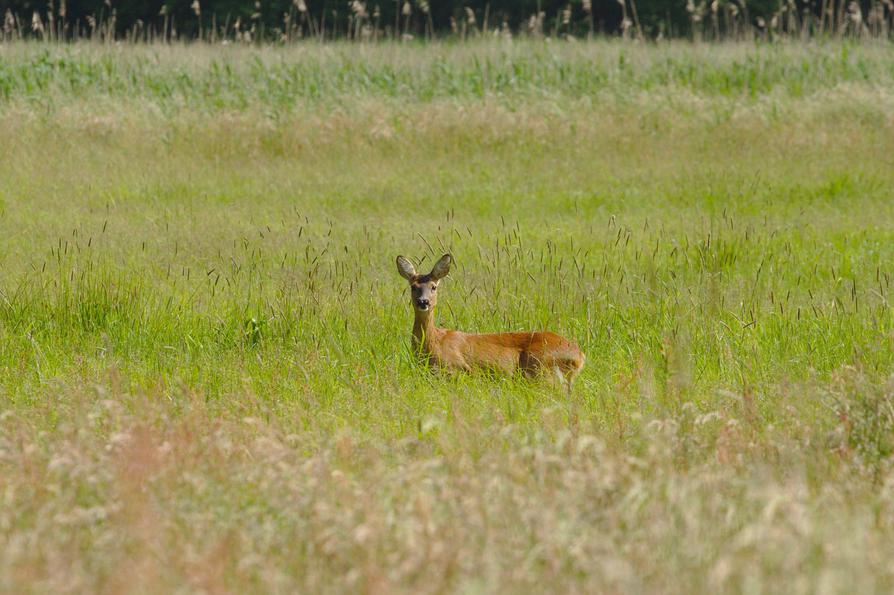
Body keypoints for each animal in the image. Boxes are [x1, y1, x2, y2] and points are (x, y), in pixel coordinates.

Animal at [396, 255, 584, 392]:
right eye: (413, 287)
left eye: (434, 287)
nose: (423, 302)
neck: (434, 341)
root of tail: (580, 356)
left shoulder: (455, 367)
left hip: (541, 369)